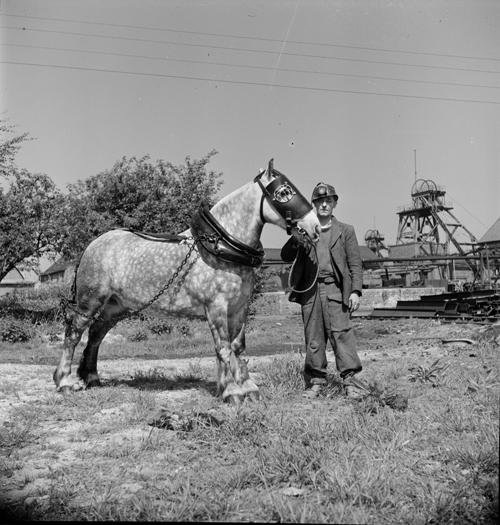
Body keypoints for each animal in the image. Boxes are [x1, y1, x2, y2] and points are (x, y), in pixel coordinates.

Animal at [54, 159, 320, 402]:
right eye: (284, 192)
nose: (315, 227)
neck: (219, 245)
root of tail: (92, 246)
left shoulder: (239, 308)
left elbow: (237, 346)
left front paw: (246, 387)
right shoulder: (216, 306)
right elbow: (223, 347)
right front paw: (232, 391)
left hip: (115, 306)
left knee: (96, 334)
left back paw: (91, 377)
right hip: (90, 302)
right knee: (74, 333)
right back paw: (65, 381)